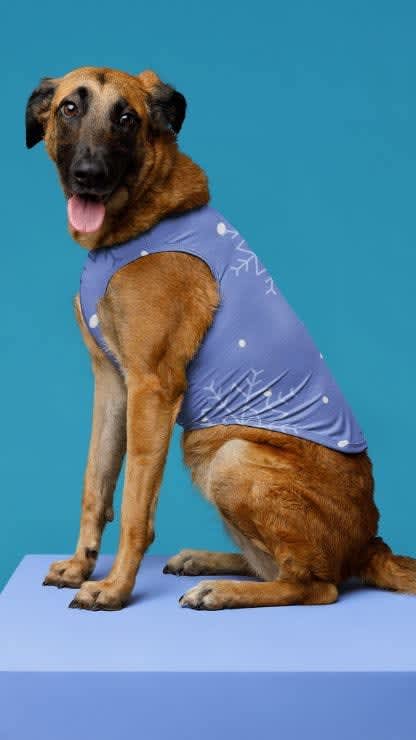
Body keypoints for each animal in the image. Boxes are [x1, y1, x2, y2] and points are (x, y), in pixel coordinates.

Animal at [26, 65, 416, 608]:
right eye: (69, 108)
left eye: (126, 119)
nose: (89, 174)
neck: (135, 224)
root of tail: (370, 542)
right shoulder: (112, 384)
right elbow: (95, 482)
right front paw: (81, 565)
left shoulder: (152, 388)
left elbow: (135, 506)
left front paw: (114, 588)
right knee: (274, 566)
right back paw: (206, 561)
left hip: (230, 455)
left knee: (316, 585)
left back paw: (223, 591)